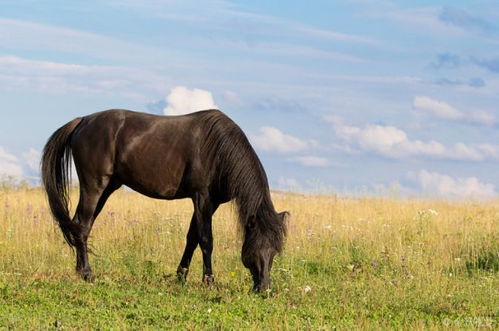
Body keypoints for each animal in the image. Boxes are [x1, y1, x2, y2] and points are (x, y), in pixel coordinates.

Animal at [42, 109, 290, 294]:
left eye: (275, 250)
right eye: (255, 246)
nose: (264, 289)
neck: (218, 151)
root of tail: (83, 121)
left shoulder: (210, 203)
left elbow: (192, 238)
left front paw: (181, 276)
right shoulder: (202, 197)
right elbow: (206, 240)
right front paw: (208, 281)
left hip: (108, 188)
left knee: (79, 225)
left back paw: (79, 270)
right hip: (95, 186)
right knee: (83, 226)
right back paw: (87, 274)